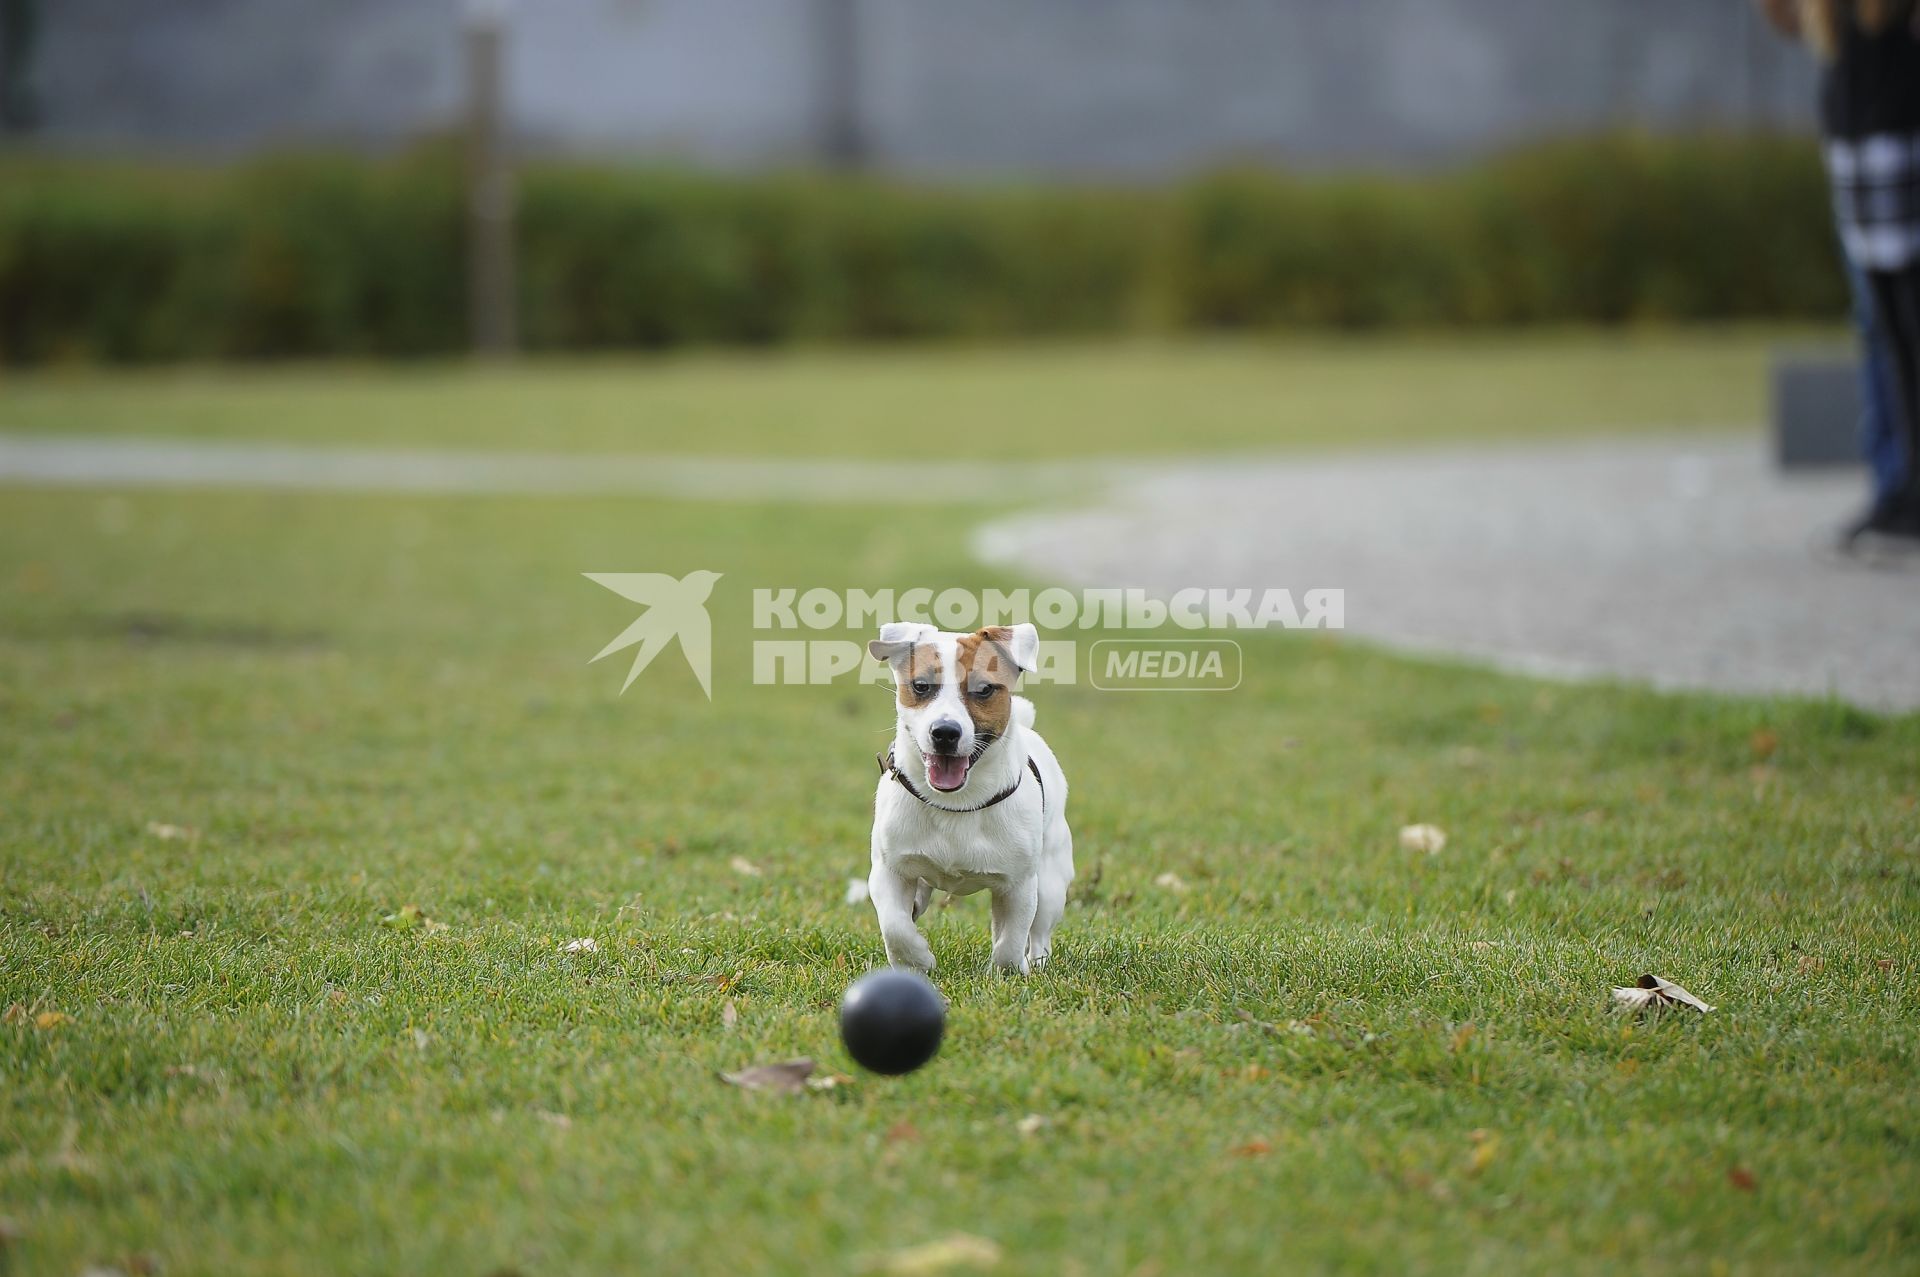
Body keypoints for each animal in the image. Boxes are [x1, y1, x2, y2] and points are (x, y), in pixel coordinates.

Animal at [867, 622, 1075, 971]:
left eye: (984, 689)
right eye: (921, 686)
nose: (945, 732)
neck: (957, 802)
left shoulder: (1019, 886)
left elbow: (1010, 942)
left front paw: (1006, 972)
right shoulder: (889, 870)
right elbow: (896, 927)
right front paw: (917, 960)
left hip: (1050, 880)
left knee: (1039, 932)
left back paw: (1037, 964)